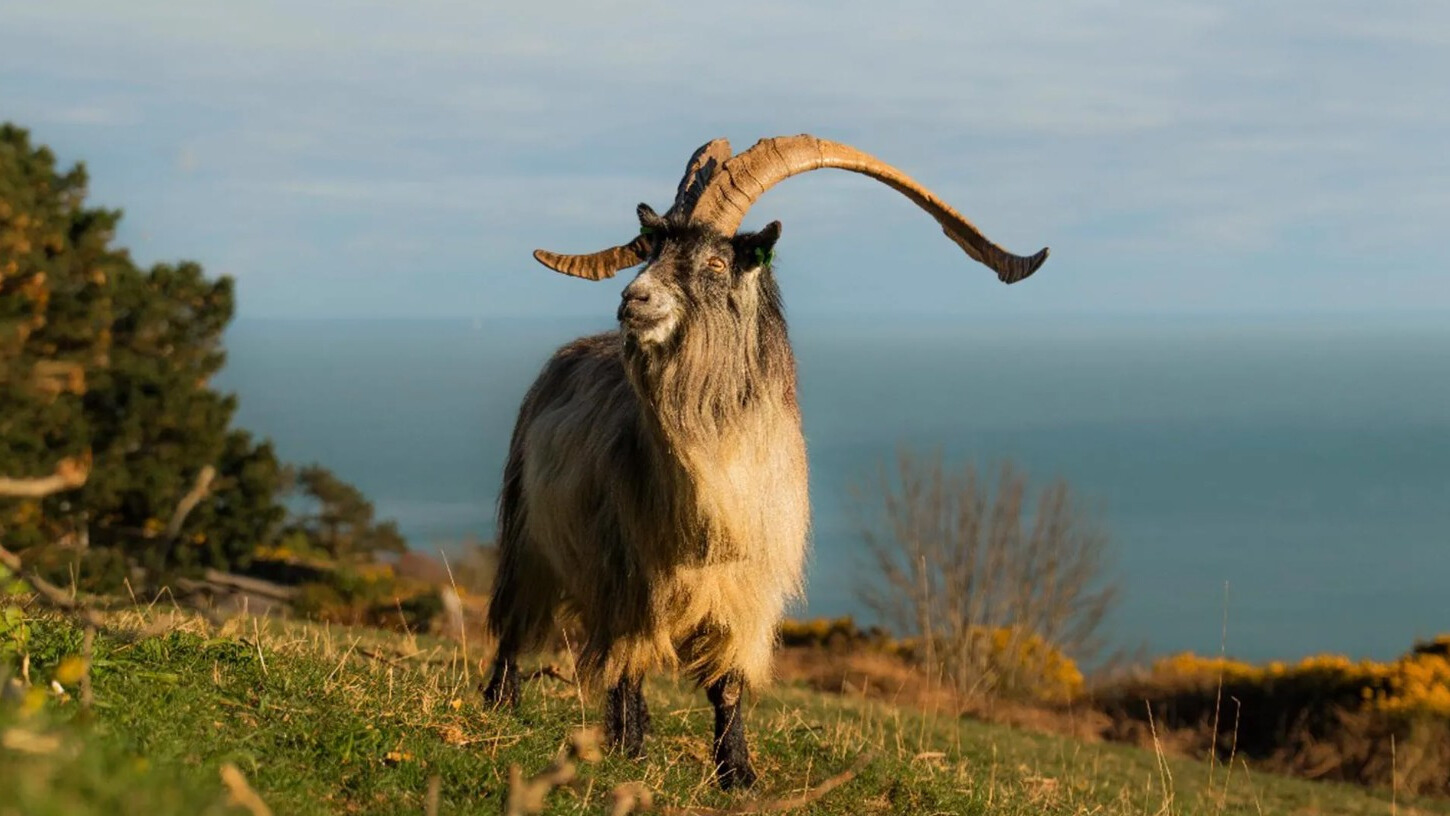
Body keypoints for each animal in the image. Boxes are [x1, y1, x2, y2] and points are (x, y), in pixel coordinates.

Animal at [483, 134, 1048, 788]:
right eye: (654, 252)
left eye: (716, 264)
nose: (633, 299)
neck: (716, 477)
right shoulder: (629, 575)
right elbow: (628, 664)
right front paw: (631, 752)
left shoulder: (748, 591)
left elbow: (728, 684)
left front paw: (738, 773)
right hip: (527, 536)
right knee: (518, 623)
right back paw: (504, 703)